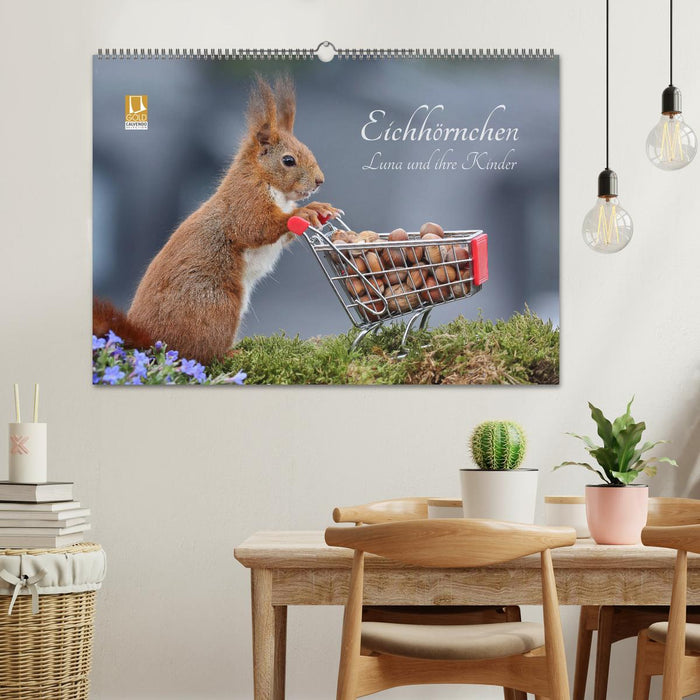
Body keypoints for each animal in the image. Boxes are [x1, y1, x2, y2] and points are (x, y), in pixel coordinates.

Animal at [93, 75, 341, 365]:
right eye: (288, 160)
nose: (319, 181)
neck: (270, 185)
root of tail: (151, 340)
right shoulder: (245, 201)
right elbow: (256, 227)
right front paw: (304, 212)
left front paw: (320, 209)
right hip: (217, 305)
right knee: (201, 354)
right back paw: (230, 353)